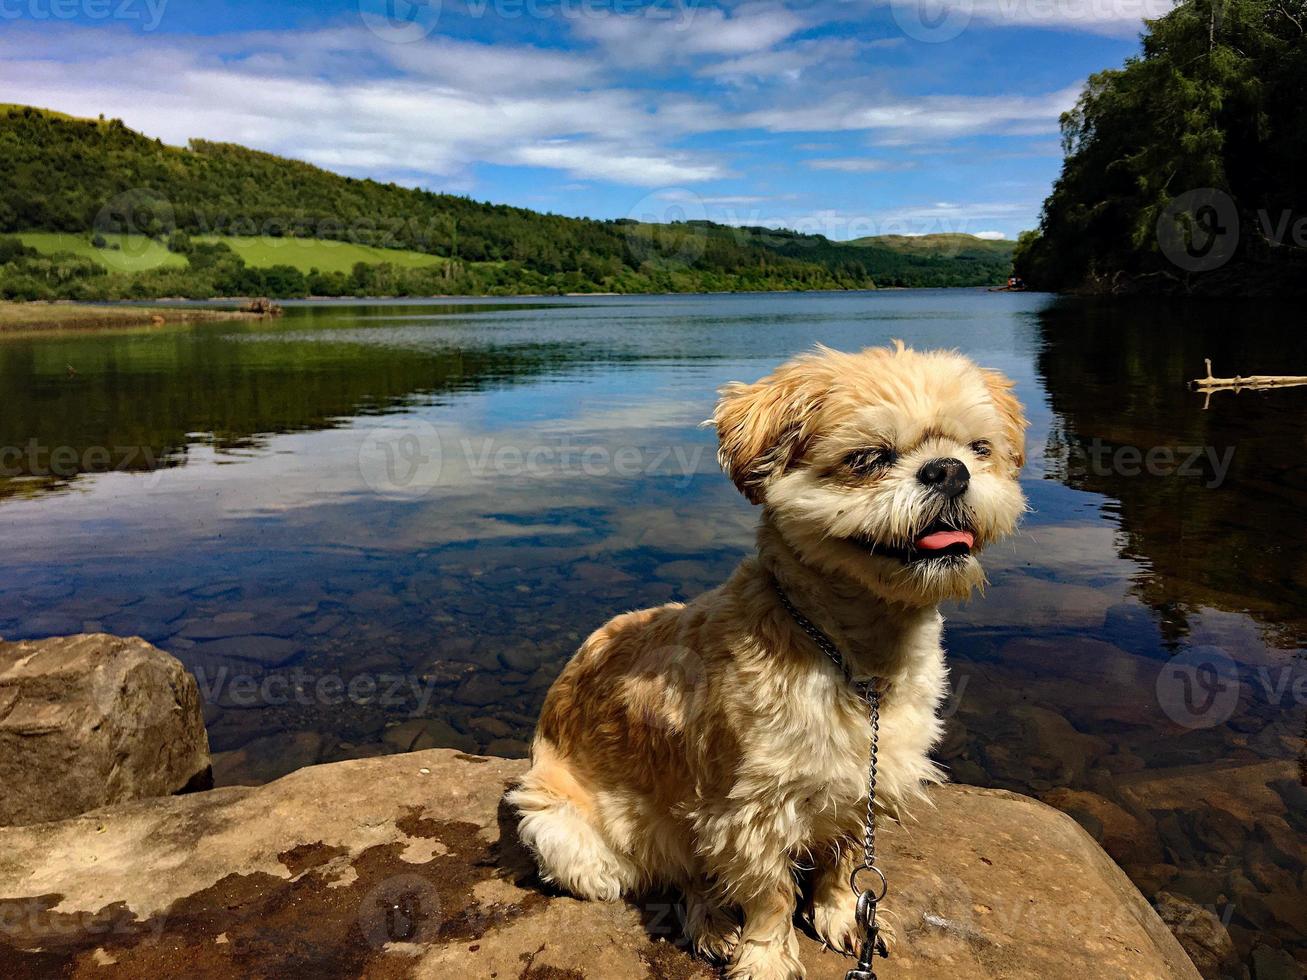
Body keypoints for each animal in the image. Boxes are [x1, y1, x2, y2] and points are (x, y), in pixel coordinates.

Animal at [504, 342, 1024, 977]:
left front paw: (844, 915)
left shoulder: (864, 786)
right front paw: (767, 958)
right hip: (572, 837)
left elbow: (842, 863)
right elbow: (770, 892)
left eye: (980, 450)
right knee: (681, 876)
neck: (858, 661)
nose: (949, 470)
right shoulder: (752, 810)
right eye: (868, 458)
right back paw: (711, 920)